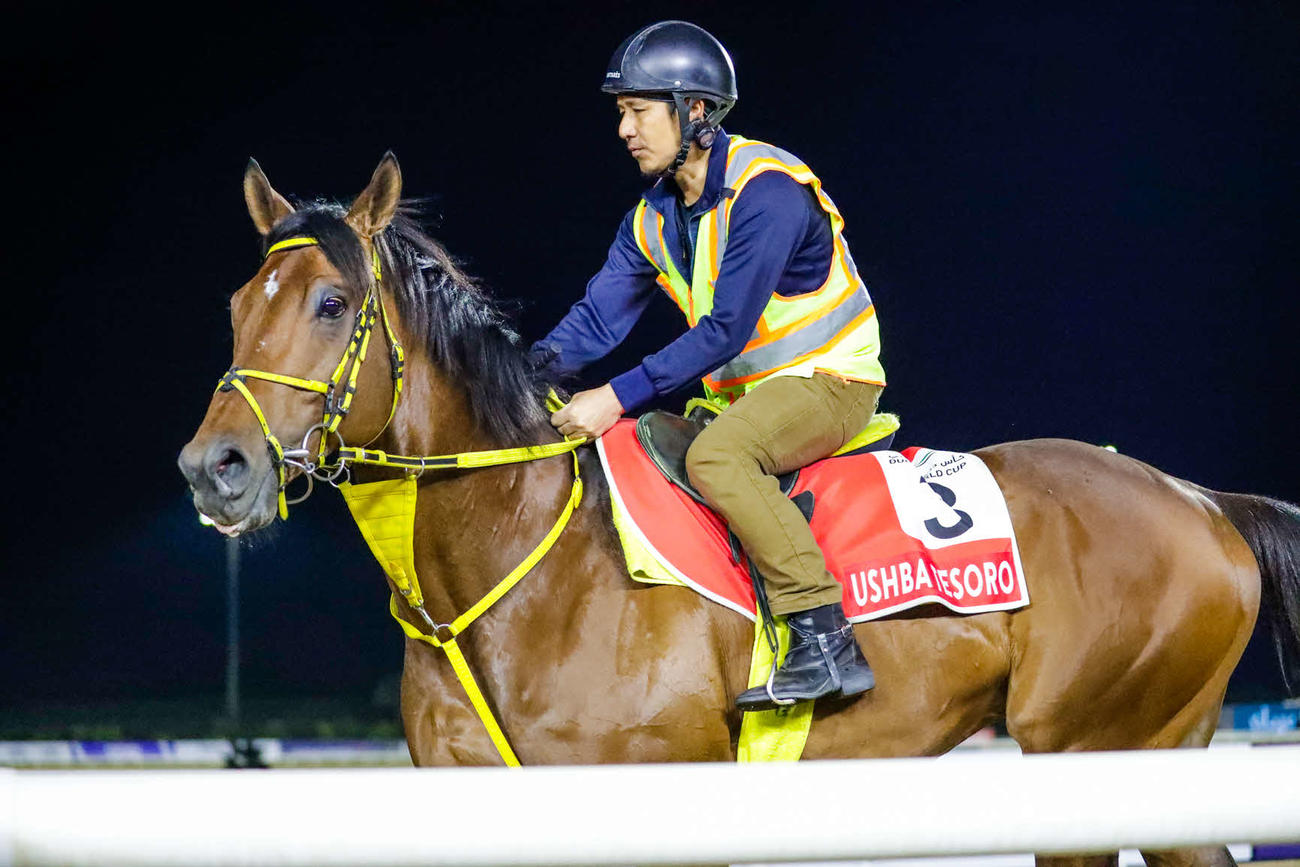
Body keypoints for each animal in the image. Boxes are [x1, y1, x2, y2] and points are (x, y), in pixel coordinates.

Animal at [179, 154, 1300, 867]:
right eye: (237, 305)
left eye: (330, 304)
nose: (214, 468)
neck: (514, 572)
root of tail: (1203, 500)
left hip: (1099, 749)